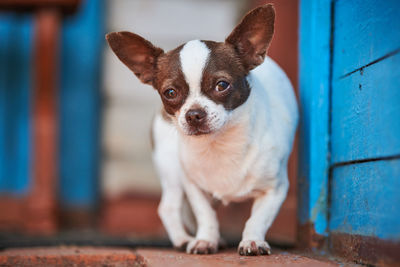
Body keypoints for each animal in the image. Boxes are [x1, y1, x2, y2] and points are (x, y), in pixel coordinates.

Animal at [106, 4, 296, 258]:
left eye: (222, 85)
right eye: (170, 92)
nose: (194, 114)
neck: (220, 144)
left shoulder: (274, 189)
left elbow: (258, 219)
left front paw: (253, 241)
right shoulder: (193, 186)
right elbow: (205, 215)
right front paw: (205, 240)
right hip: (172, 171)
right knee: (169, 207)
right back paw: (183, 239)